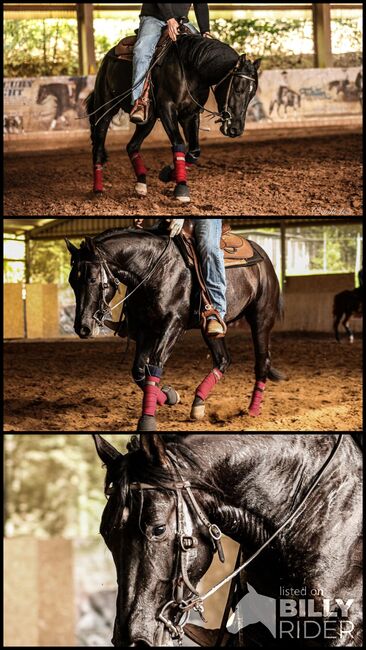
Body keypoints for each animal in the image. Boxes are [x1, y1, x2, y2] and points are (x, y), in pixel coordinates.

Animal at [66, 225, 284, 432]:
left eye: (92, 279)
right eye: (71, 281)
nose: (82, 327)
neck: (154, 269)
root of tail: (263, 258)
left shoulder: (173, 324)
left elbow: (155, 363)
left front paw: (147, 421)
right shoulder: (146, 329)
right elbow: (138, 369)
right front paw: (169, 395)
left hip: (261, 318)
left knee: (262, 362)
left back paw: (253, 410)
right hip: (211, 327)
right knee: (224, 359)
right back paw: (198, 403)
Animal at [86, 25, 260, 201]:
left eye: (252, 94)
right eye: (238, 89)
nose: (236, 129)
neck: (190, 68)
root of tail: (108, 57)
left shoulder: (190, 114)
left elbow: (194, 151)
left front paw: (168, 174)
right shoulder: (167, 109)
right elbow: (179, 143)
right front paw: (181, 187)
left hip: (148, 120)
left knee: (132, 146)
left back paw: (141, 184)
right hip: (105, 109)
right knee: (98, 147)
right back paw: (98, 189)